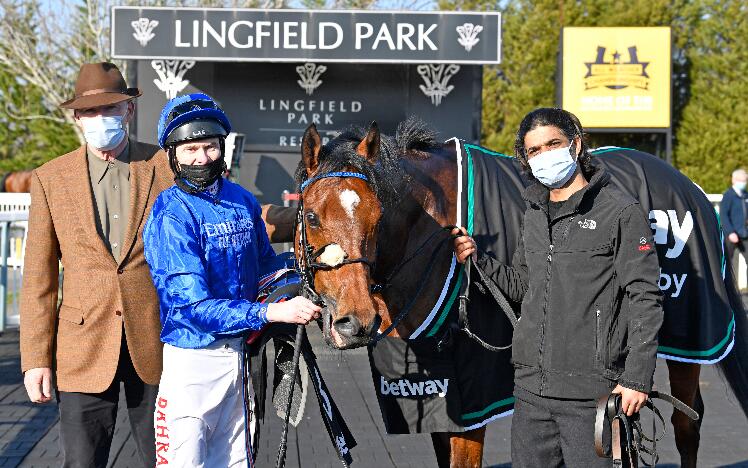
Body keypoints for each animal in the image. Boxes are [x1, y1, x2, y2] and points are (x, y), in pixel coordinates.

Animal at [276, 119, 748, 466]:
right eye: (312, 215)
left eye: (378, 216)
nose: (356, 322)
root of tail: (691, 187)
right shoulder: (437, 396)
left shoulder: (472, 396)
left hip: (689, 341)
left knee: (686, 425)